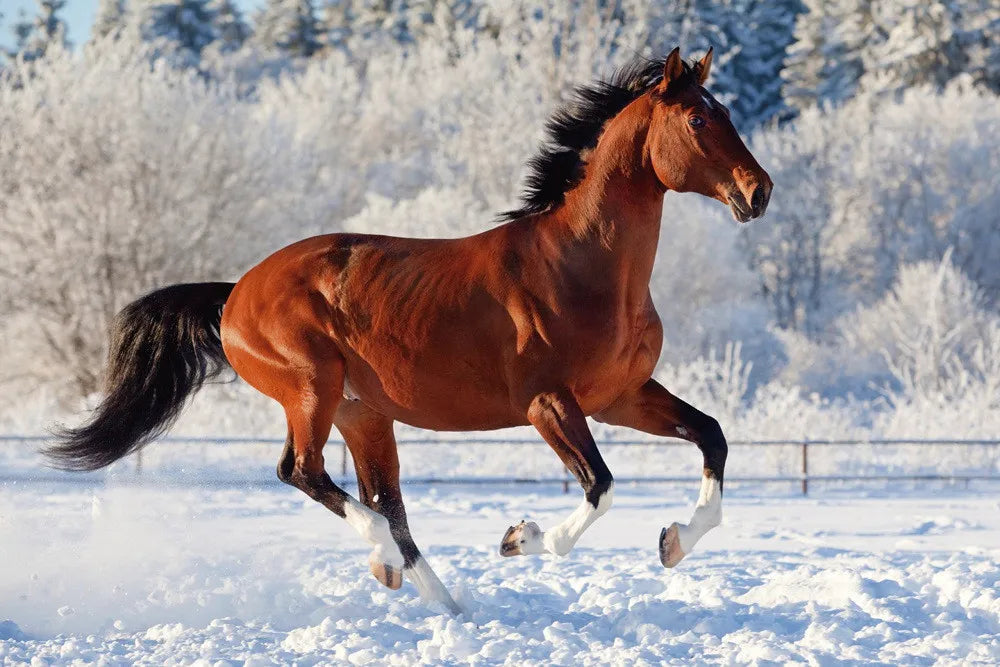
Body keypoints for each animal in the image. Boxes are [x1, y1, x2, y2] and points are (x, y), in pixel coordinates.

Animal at [48, 47, 771, 615]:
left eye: (728, 114)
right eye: (699, 118)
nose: (758, 191)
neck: (582, 266)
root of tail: (235, 295)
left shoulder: (620, 396)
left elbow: (712, 435)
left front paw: (674, 540)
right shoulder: (549, 404)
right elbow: (601, 485)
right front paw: (521, 538)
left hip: (362, 413)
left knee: (384, 502)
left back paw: (441, 600)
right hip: (311, 391)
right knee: (304, 473)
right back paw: (385, 560)